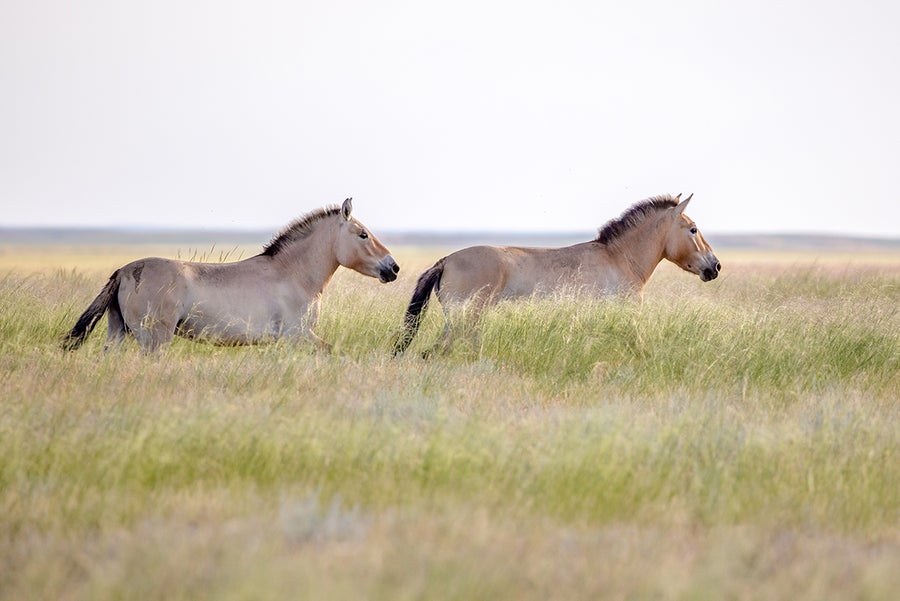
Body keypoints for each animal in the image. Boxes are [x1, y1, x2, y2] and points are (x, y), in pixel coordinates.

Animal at [63, 198, 400, 353]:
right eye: (363, 234)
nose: (393, 268)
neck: (293, 274)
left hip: (118, 333)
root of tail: (123, 272)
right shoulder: (299, 336)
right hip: (153, 340)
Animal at [392, 193, 720, 355]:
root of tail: (446, 261)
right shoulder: (628, 321)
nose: (714, 266)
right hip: (463, 323)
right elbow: (641, 350)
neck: (619, 259)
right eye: (693, 229)